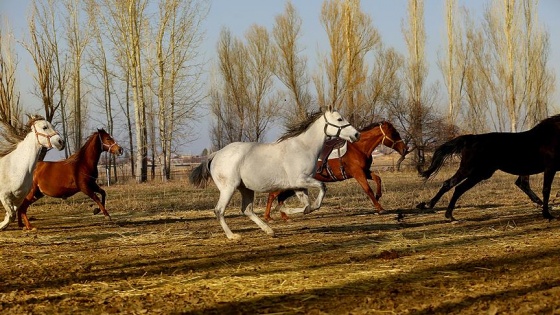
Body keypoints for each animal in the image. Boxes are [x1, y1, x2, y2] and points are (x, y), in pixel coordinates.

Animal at [191, 108, 358, 239]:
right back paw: (233, 236)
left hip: (246, 189)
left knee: (247, 210)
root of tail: (216, 154)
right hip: (228, 188)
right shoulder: (301, 180)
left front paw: (285, 210)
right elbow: (321, 189)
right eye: (339, 119)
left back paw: (269, 230)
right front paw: (285, 210)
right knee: (219, 210)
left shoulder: (299, 186)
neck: (303, 147)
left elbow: (306, 205)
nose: (356, 134)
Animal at [262, 121, 406, 222]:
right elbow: (368, 190)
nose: (405, 149)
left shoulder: (365, 172)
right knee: (273, 195)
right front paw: (380, 208)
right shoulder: (358, 174)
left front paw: (378, 195)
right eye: (394, 134)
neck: (358, 148)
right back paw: (269, 217)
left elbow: (377, 179)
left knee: (279, 197)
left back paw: (284, 216)